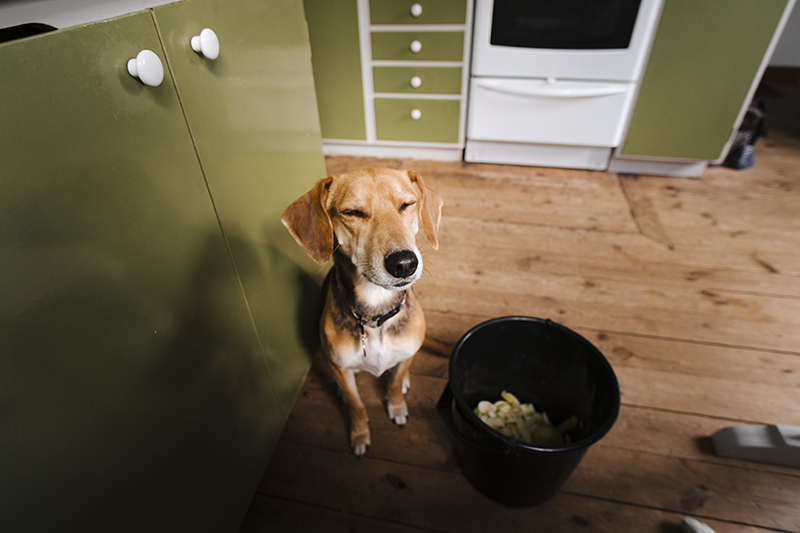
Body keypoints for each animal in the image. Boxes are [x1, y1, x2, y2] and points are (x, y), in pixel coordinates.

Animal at [282, 168, 444, 456]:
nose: (404, 263)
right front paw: (359, 434)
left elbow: (394, 383)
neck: (376, 313)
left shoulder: (406, 352)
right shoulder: (341, 368)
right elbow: (356, 404)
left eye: (407, 204)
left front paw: (397, 405)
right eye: (353, 212)